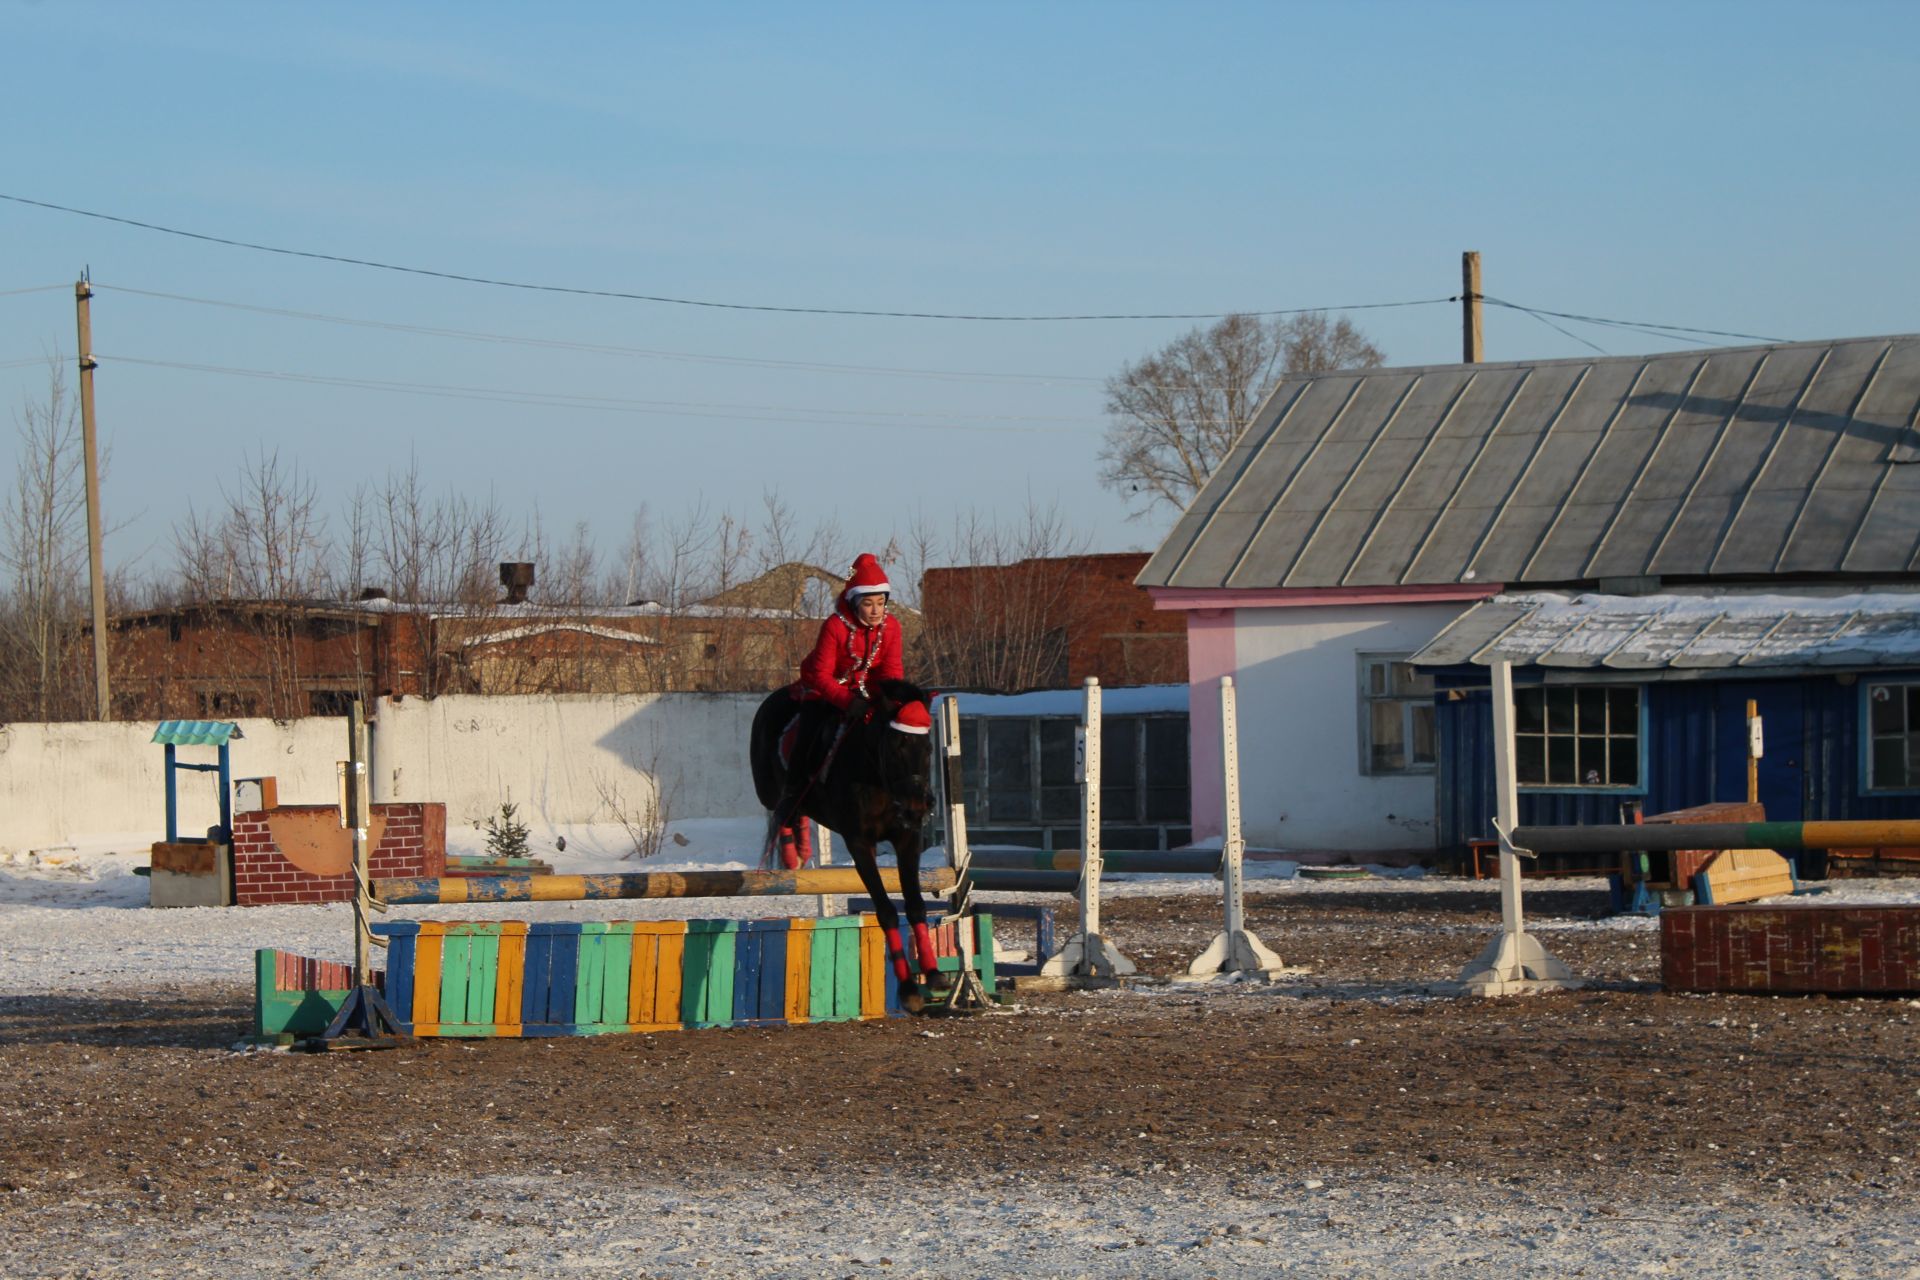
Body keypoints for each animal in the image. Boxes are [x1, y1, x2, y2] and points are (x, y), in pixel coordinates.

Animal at [756, 675, 952, 1013]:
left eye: (928, 747)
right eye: (896, 746)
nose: (918, 806)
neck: (877, 777)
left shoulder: (907, 839)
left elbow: (915, 904)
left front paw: (933, 973)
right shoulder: (860, 843)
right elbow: (885, 910)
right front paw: (908, 989)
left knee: (796, 812)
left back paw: (802, 848)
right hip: (768, 787)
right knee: (783, 807)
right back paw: (792, 853)